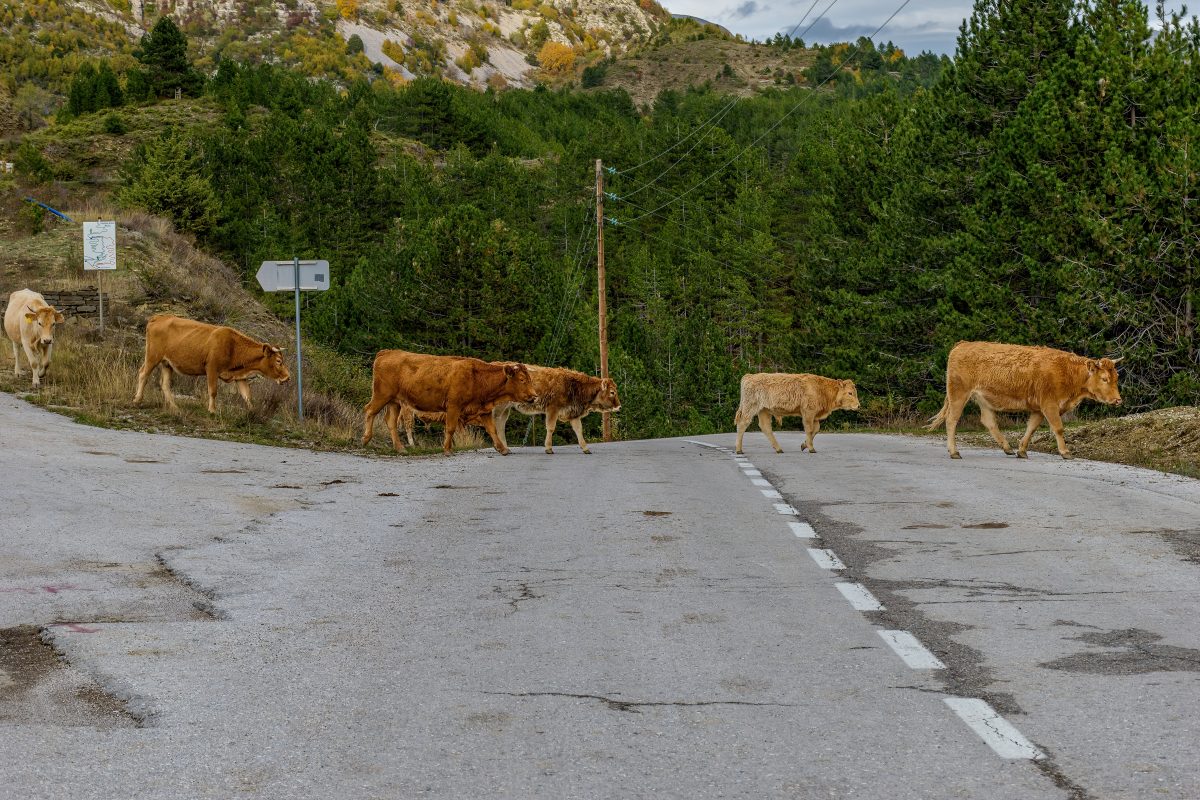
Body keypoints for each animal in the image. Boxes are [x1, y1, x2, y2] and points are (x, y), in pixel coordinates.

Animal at [133, 314, 290, 413]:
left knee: (165, 384)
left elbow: (247, 395)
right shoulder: (212, 369)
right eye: (279, 361)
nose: (288, 377)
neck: (233, 346)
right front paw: (212, 410)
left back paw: (174, 407)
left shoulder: (240, 376)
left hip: (167, 364)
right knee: (143, 374)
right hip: (153, 356)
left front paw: (253, 412)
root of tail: (159, 317)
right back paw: (137, 400)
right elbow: (213, 391)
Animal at [361, 350, 536, 456]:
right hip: (382, 396)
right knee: (369, 410)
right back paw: (365, 439)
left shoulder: (484, 409)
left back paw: (400, 448)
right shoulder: (453, 407)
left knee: (391, 421)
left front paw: (503, 449)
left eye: (529, 379)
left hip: (395, 402)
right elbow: (450, 429)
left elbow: (492, 430)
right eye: (522, 379)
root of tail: (387, 352)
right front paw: (447, 449)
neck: (477, 377)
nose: (534, 396)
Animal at [927, 341, 1122, 460]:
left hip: (982, 399)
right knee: (952, 420)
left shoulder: (1038, 409)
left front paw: (1022, 450)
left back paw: (1007, 448)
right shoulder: (1049, 405)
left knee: (989, 421)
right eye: (1104, 378)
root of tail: (962, 345)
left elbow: (1031, 428)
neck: (1067, 372)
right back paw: (954, 452)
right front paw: (1065, 452)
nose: (1118, 400)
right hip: (958, 394)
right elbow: (1058, 428)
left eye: (1117, 377)